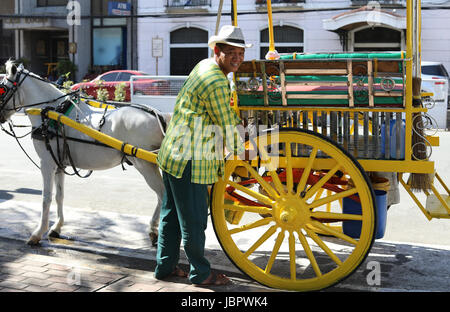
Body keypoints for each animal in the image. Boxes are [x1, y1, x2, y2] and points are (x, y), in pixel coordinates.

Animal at [0, 60, 167, 246]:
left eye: (2, 89)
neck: (51, 111)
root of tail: (158, 115)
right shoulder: (59, 164)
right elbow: (59, 196)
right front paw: (56, 227)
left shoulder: (47, 163)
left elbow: (46, 198)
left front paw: (37, 233)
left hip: (144, 164)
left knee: (163, 196)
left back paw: (155, 230)